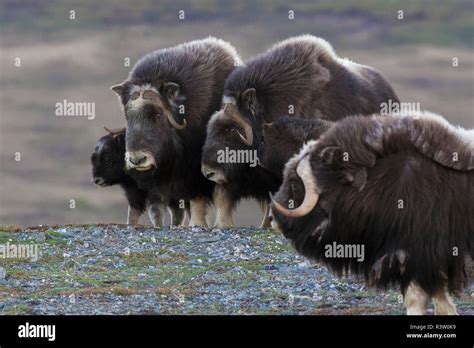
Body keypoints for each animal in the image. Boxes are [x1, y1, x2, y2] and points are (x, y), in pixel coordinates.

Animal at [110, 37, 241, 226]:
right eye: (127, 115)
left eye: (157, 113)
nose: (137, 160)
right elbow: (160, 208)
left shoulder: (195, 170)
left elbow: (197, 198)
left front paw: (197, 225)